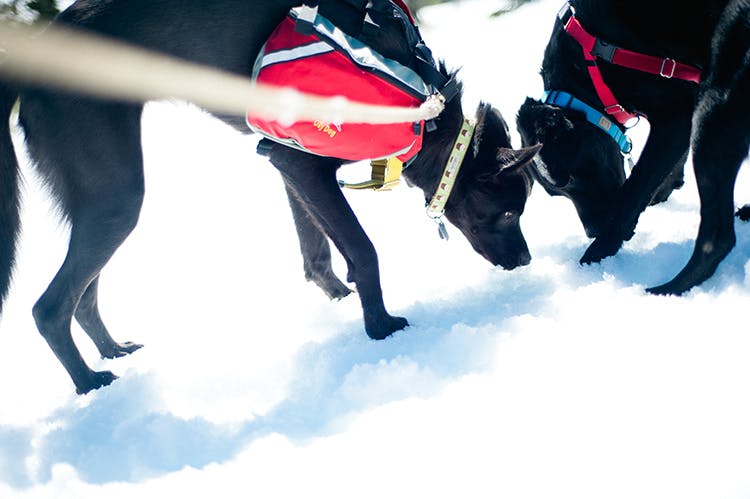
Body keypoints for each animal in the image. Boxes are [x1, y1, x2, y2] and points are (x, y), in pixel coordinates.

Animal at [0, 0, 540, 394]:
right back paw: (89, 381)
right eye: (508, 212)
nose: (526, 261)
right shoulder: (302, 164)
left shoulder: (289, 162)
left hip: (103, 199)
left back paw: (111, 350)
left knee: (82, 295)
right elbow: (363, 250)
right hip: (116, 194)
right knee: (50, 307)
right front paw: (381, 327)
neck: (419, 101)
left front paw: (342, 301)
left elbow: (316, 253)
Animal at [520, 0, 750, 294]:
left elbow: (631, 194)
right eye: (556, 193)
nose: (592, 231)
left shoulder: (677, 116)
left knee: (718, 238)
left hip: (714, 110)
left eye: (570, 180)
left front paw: (598, 253)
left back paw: (665, 292)